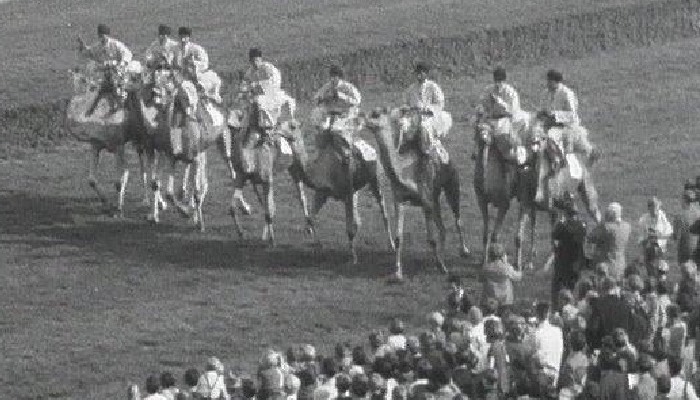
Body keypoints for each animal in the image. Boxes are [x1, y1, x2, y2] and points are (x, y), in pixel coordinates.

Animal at [364, 108, 468, 280]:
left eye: (376, 114)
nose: (360, 118)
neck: (404, 173)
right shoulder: (400, 201)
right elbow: (399, 238)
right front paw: (398, 273)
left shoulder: (425, 201)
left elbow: (431, 239)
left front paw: (442, 267)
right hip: (435, 198)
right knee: (443, 228)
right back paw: (442, 256)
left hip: (451, 185)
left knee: (457, 218)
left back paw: (464, 251)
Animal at [516, 111, 600, 268]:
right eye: (531, 130)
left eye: (543, 135)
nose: (535, 144)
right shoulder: (526, 206)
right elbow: (519, 236)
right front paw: (520, 266)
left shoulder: (553, 209)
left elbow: (553, 239)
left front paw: (546, 266)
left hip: (586, 193)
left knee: (596, 215)